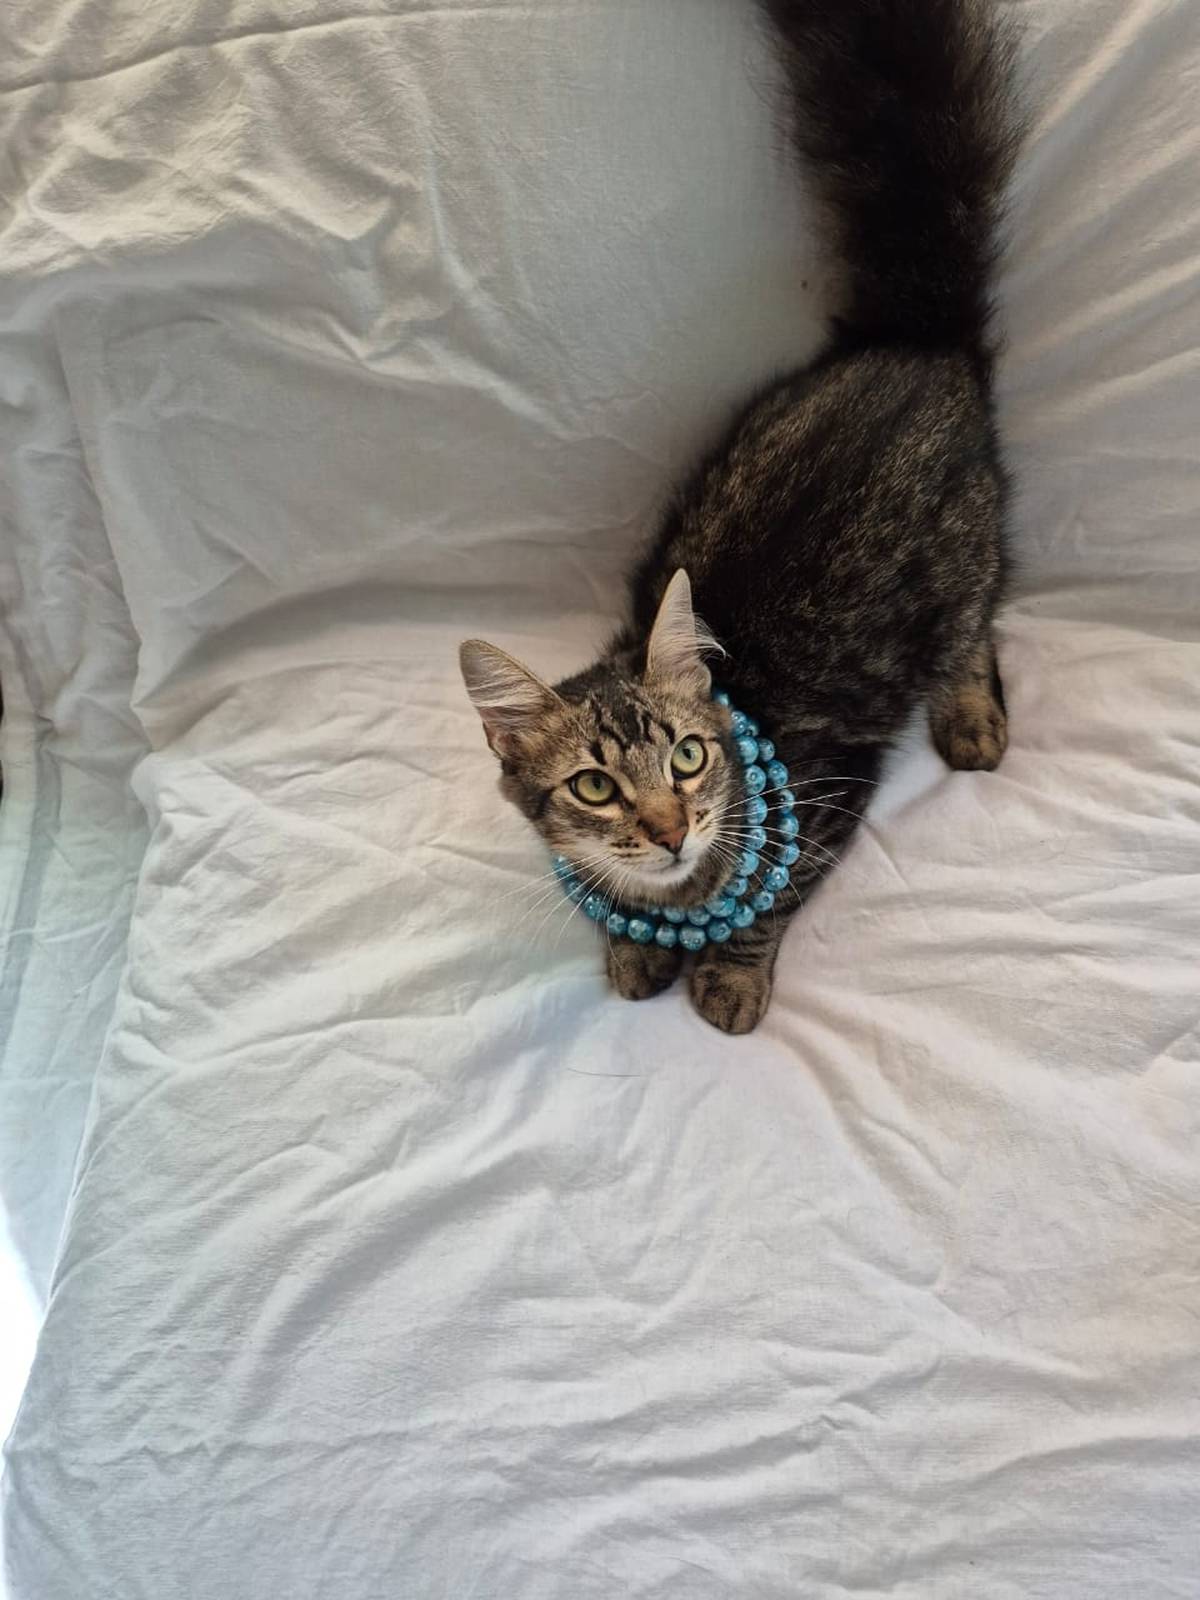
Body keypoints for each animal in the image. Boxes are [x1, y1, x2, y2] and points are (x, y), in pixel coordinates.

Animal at [460, 0, 1021, 1034]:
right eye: (595, 786)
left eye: (688, 760)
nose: (671, 828)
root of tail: (909, 340)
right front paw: (635, 950)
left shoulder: (835, 790)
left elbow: (771, 904)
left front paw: (726, 977)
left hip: (958, 570)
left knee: (977, 627)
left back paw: (972, 719)